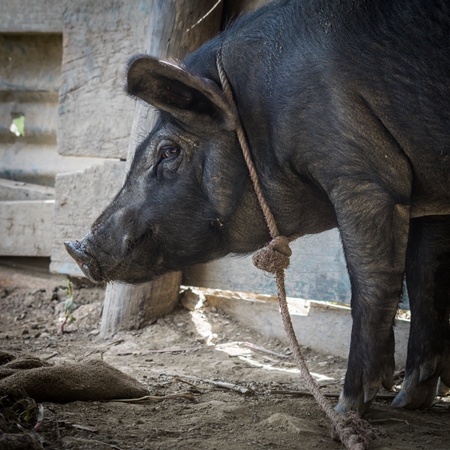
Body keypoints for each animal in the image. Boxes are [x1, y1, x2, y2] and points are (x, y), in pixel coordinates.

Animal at [66, 0, 450, 414]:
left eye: (168, 152)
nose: (75, 248)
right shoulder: (431, 198)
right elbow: (426, 277)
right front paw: (408, 401)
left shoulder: (364, 175)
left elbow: (372, 280)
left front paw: (345, 409)